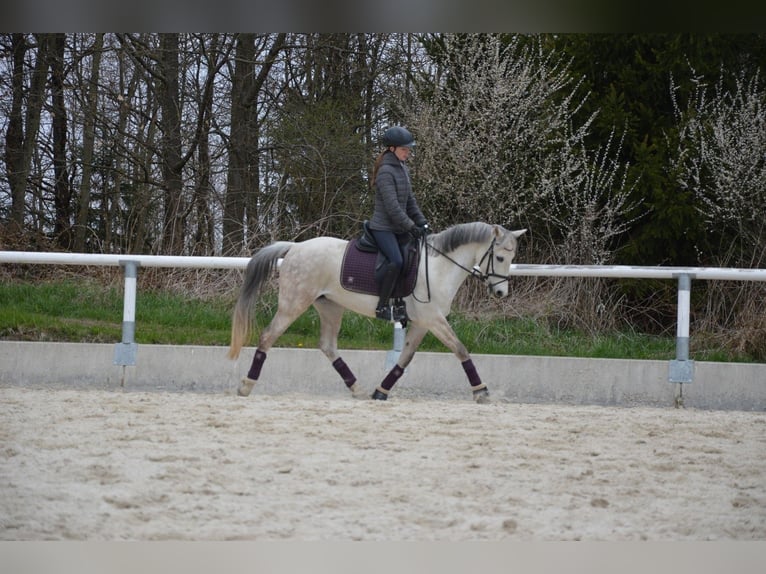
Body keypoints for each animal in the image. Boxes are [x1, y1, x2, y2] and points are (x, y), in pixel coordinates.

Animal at [230, 223, 528, 402]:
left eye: (512, 258)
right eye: (500, 257)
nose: (501, 293)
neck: (439, 267)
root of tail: (295, 247)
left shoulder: (422, 323)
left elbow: (404, 359)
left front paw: (380, 391)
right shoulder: (433, 319)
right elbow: (461, 350)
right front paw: (481, 391)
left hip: (330, 307)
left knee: (328, 346)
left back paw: (358, 389)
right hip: (294, 303)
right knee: (268, 337)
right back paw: (245, 385)